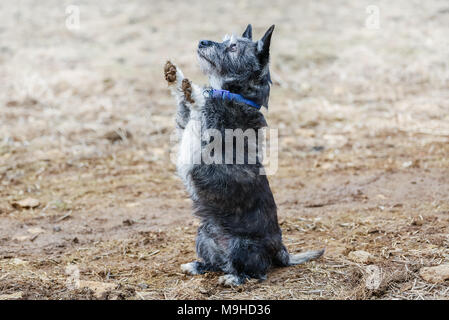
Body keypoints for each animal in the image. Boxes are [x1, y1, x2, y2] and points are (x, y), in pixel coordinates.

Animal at [163, 24, 324, 284]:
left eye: (233, 47)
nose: (202, 42)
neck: (238, 95)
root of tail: (281, 250)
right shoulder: (184, 124)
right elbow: (183, 105)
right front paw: (174, 75)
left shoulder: (210, 127)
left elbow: (200, 102)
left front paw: (191, 89)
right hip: (203, 234)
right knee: (218, 264)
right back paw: (198, 266)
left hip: (241, 247)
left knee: (256, 273)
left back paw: (234, 279)